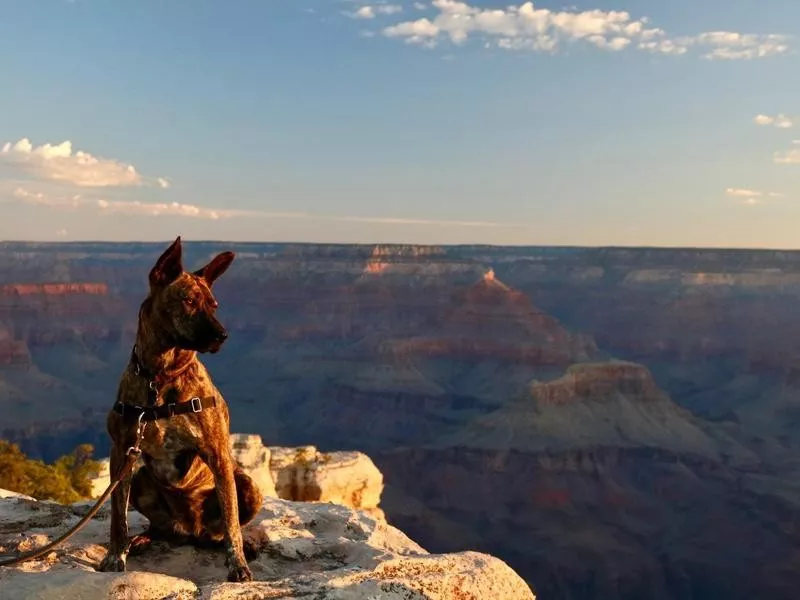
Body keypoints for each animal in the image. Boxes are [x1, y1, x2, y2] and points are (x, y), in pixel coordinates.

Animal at [98, 236, 262, 580]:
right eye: (188, 300)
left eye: (214, 305)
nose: (223, 336)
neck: (160, 377)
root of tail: (190, 532)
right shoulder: (121, 452)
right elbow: (118, 517)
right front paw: (116, 555)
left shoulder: (217, 453)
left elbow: (231, 523)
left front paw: (238, 564)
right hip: (142, 478)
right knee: (159, 527)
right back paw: (143, 538)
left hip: (248, 486)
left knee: (224, 530)